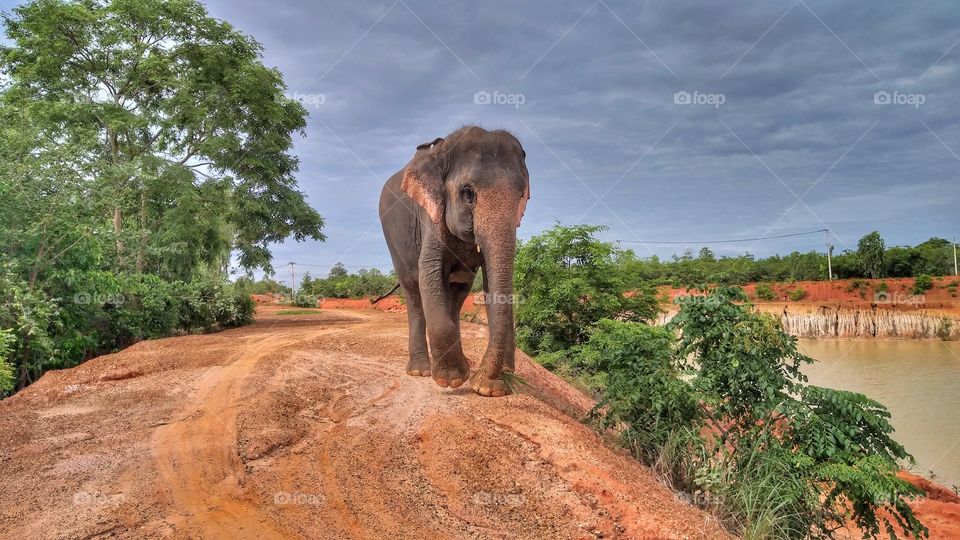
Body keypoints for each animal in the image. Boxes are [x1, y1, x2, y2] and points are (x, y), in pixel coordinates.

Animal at [379, 126, 530, 397]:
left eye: (522, 195)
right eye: (468, 193)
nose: (487, 381)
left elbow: (491, 284)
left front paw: (487, 387)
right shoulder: (431, 214)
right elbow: (429, 270)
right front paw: (453, 380)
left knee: (457, 293)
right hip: (394, 239)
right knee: (413, 291)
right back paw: (421, 371)